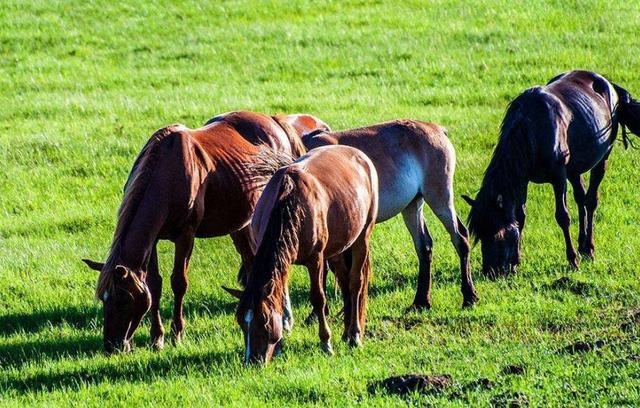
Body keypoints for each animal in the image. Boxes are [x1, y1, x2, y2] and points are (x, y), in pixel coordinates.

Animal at [82, 110, 318, 352]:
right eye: (104, 299)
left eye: (123, 298)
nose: (112, 346)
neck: (166, 173)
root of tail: (274, 120)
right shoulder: (153, 240)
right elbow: (154, 284)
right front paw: (157, 337)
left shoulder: (186, 235)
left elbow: (179, 282)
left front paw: (177, 334)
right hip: (240, 225)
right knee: (252, 261)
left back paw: (285, 319)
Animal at [225, 146, 378, 364]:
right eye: (240, 322)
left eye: (264, 321)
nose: (252, 360)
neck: (289, 203)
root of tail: (360, 155)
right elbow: (280, 300)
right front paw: (279, 347)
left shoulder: (316, 260)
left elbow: (318, 299)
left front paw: (325, 342)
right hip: (338, 247)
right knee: (344, 281)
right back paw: (346, 333)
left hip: (362, 236)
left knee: (355, 283)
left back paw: (355, 335)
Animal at [302, 121, 478, 310]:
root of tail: (437, 129)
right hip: (412, 205)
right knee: (424, 246)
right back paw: (421, 301)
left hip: (439, 198)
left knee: (460, 237)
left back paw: (469, 296)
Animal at [462, 71, 640, 278]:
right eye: (480, 235)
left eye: (497, 234)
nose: (490, 272)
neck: (531, 129)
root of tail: (609, 84)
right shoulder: (523, 179)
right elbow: (520, 217)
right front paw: (516, 263)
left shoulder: (558, 177)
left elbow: (562, 216)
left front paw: (572, 260)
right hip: (574, 168)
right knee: (580, 198)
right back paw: (582, 247)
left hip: (603, 156)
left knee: (591, 200)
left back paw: (589, 249)